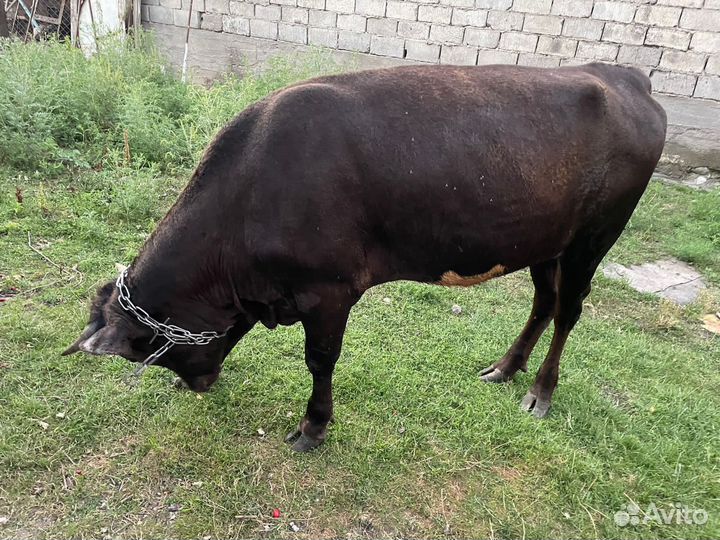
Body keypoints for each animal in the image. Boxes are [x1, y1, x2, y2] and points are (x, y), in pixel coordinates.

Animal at [63, 62, 667, 452]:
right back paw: (505, 368)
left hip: (595, 237)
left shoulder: (328, 290)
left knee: (568, 310)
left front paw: (312, 428)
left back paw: (540, 392)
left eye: (149, 351)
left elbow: (320, 360)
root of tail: (624, 75)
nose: (196, 384)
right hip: (546, 241)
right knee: (543, 302)